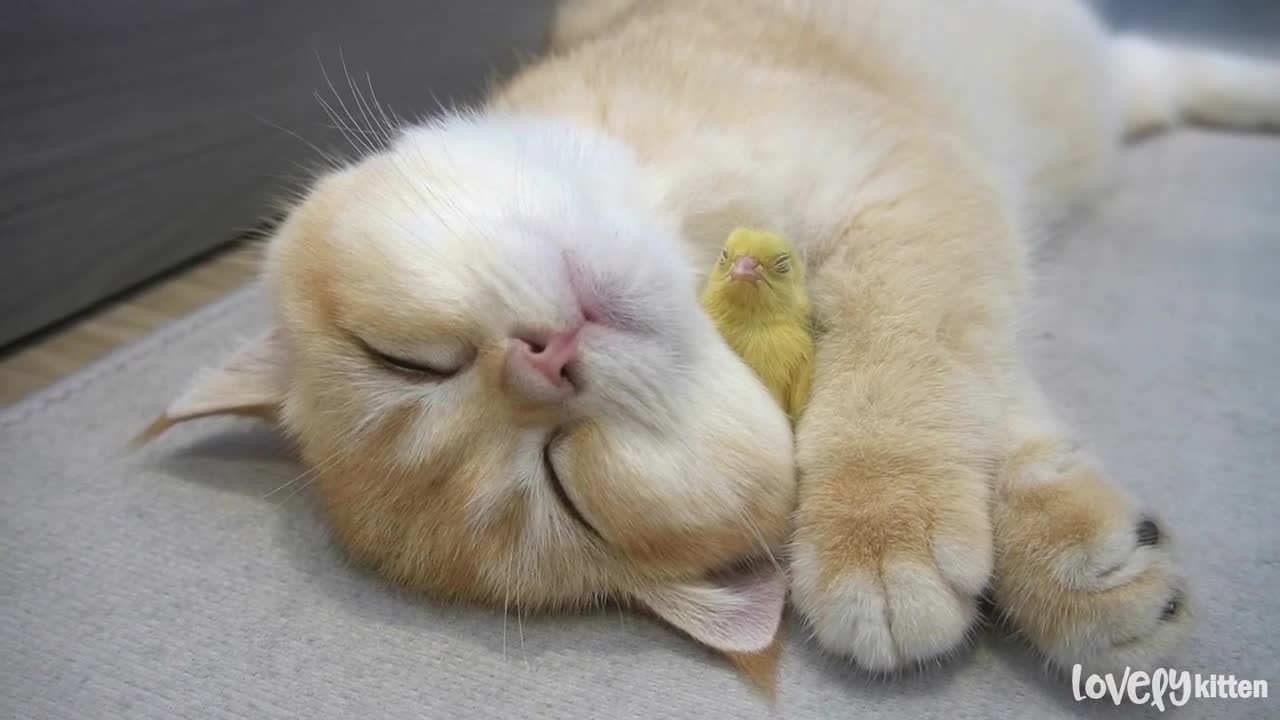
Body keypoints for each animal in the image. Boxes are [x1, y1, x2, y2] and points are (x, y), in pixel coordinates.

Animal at [147, 0, 1280, 671]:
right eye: (563, 484)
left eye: (401, 361)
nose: (542, 363)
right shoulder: (945, 223)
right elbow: (984, 398)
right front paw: (1077, 570)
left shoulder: (901, 187)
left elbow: (901, 366)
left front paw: (880, 528)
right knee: (1159, 71)